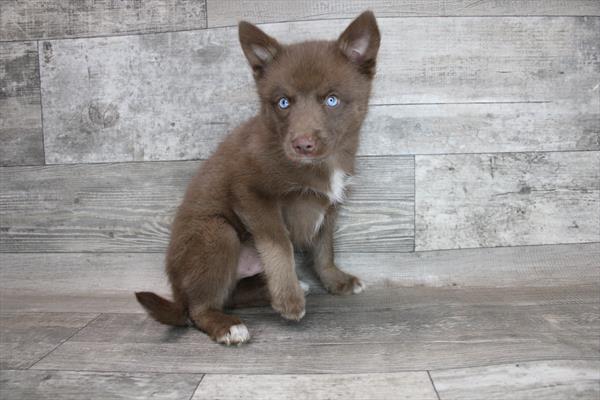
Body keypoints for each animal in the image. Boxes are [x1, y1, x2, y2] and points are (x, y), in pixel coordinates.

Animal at [136, 10, 380, 346]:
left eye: (331, 100)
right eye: (283, 103)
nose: (302, 144)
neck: (320, 164)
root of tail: (176, 293)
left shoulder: (329, 206)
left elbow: (324, 249)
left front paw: (335, 280)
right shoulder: (251, 193)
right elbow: (280, 244)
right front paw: (289, 299)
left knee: (231, 295)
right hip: (217, 233)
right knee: (198, 309)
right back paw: (227, 325)